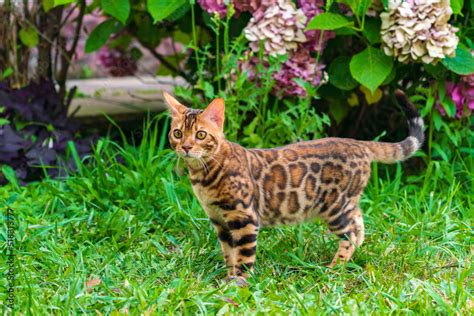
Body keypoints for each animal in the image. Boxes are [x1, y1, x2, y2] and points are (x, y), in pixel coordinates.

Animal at [164, 90, 426, 286]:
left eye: (200, 135)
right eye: (177, 133)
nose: (186, 147)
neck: (204, 176)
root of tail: (358, 143)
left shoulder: (244, 217)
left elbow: (244, 256)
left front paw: (239, 284)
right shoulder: (219, 221)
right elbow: (230, 254)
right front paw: (229, 277)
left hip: (334, 206)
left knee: (349, 234)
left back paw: (335, 267)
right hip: (346, 203)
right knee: (358, 220)